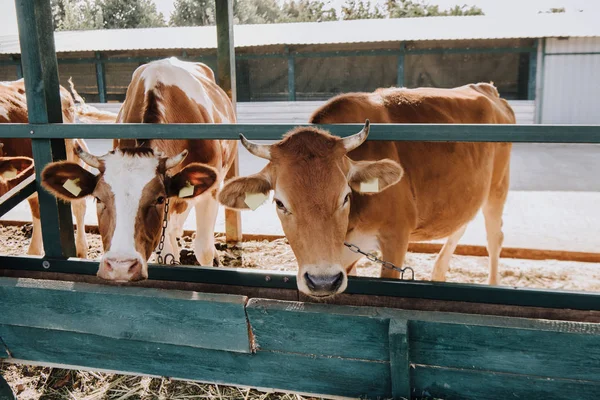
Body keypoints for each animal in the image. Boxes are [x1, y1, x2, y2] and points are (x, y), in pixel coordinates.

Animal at [39, 57, 236, 282]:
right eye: (98, 198)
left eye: (159, 198)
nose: (120, 266)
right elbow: (166, 252)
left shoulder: (210, 190)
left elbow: (203, 250)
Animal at [218, 83, 512, 296]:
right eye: (280, 203)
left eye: (346, 196)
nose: (322, 281)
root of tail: (486, 88)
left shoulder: (396, 237)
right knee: (461, 225)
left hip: (498, 187)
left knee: (494, 237)